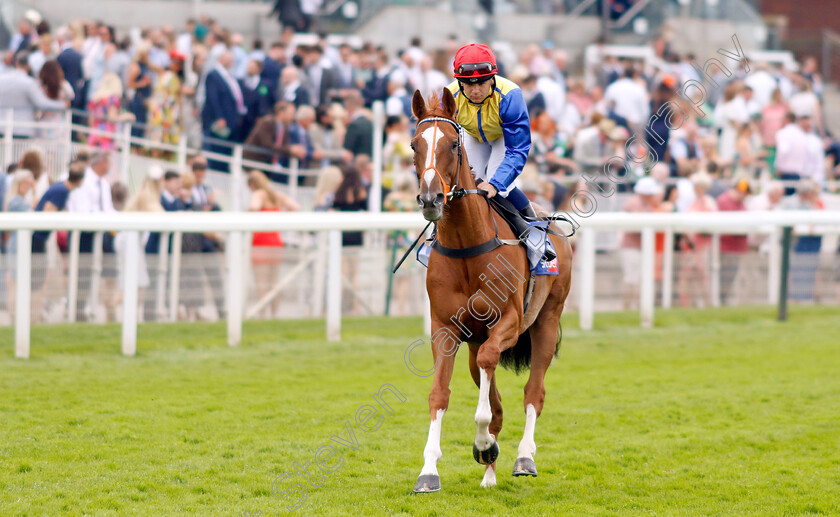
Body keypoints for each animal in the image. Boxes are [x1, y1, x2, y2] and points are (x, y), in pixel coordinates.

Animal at [410, 88, 576, 492]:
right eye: (413, 145)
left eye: (453, 144)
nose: (430, 199)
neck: (468, 247)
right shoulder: (446, 329)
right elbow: (441, 394)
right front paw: (429, 471)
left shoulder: (511, 323)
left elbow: (492, 387)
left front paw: (484, 443)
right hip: (474, 340)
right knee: (491, 387)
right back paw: (489, 472)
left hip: (546, 321)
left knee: (534, 392)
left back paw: (523, 457)